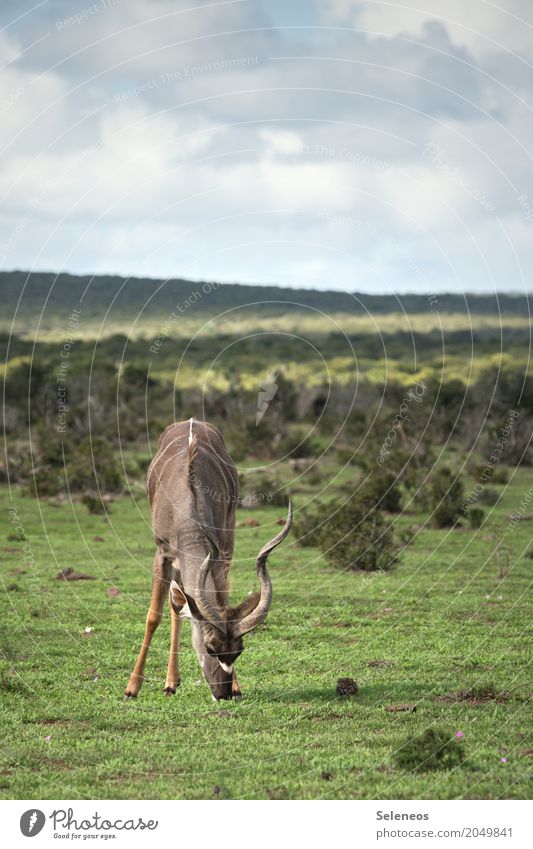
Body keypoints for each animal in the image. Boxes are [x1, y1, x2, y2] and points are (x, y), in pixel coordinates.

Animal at [124, 420, 290, 704]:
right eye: (210, 648)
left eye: (238, 650)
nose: (222, 694)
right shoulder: (163, 553)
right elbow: (153, 616)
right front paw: (132, 688)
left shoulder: (222, 552)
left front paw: (237, 687)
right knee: (174, 609)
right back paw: (169, 683)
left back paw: (171, 682)